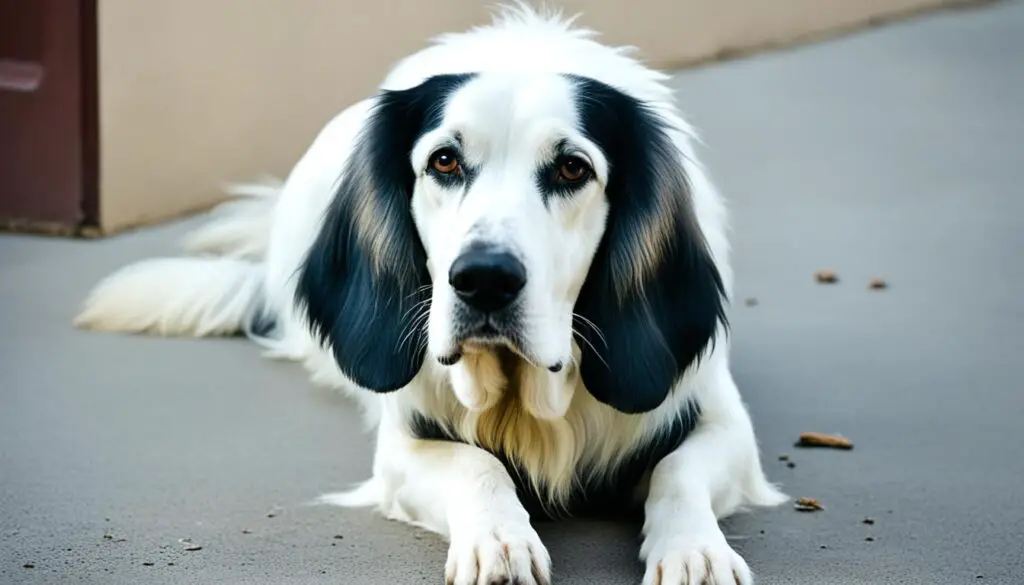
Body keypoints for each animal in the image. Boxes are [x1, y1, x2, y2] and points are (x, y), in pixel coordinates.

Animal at [75, 2, 786, 581]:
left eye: (571, 168)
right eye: (444, 160)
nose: (484, 279)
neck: (530, 404)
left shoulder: (720, 418)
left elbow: (677, 471)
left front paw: (696, 552)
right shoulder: (402, 447)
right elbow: (476, 465)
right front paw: (500, 539)